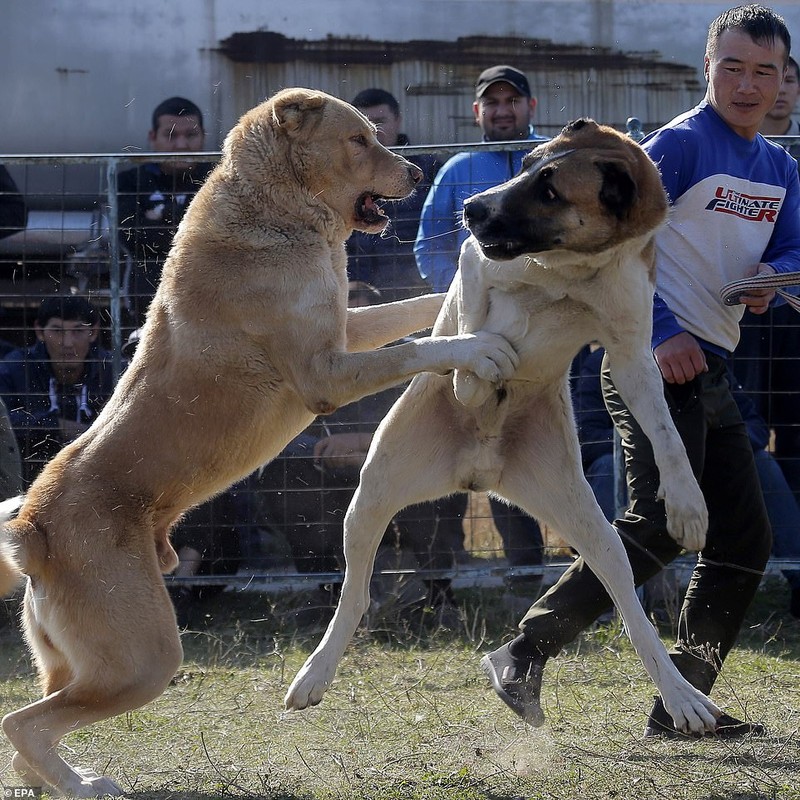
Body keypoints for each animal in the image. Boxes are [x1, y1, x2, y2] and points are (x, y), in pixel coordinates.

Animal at [0, 84, 520, 796]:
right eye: (359, 139)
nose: (417, 174)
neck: (280, 212)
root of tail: (34, 527)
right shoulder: (324, 373)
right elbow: (419, 347)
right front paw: (479, 347)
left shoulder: (346, 329)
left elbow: (417, 311)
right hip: (142, 658)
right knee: (21, 725)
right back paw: (86, 785)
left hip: (76, 661)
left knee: (33, 734)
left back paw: (69, 778)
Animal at [284, 119, 720, 736]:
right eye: (528, 164)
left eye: (551, 190)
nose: (472, 207)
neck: (569, 269)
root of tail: (478, 472)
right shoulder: (474, 260)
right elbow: (472, 312)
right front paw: (473, 375)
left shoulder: (632, 353)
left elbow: (668, 433)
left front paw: (687, 505)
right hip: (370, 498)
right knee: (355, 593)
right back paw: (314, 674)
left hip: (590, 527)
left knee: (629, 605)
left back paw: (682, 696)